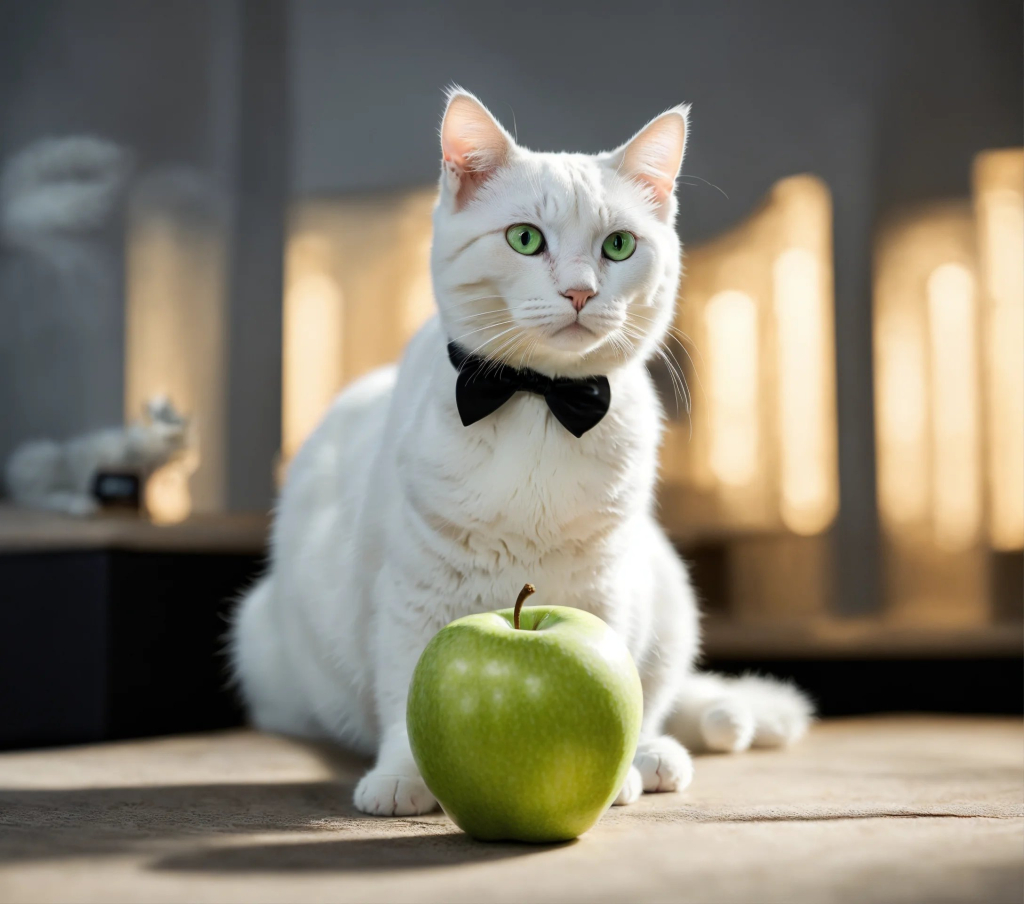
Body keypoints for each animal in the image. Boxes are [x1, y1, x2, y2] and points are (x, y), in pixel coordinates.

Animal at [6, 395, 192, 515]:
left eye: (174, 418)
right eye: (165, 419)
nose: (180, 426)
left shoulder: (147, 473)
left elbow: (143, 494)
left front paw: (148, 510)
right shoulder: (130, 464)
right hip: (52, 471)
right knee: (41, 497)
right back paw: (83, 506)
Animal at [230, 88, 806, 814]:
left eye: (619, 246)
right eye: (525, 239)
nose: (581, 290)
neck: (540, 402)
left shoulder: (606, 585)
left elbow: (624, 676)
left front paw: (621, 770)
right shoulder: (414, 591)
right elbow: (403, 686)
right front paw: (403, 775)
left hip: (669, 592)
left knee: (664, 699)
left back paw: (657, 754)